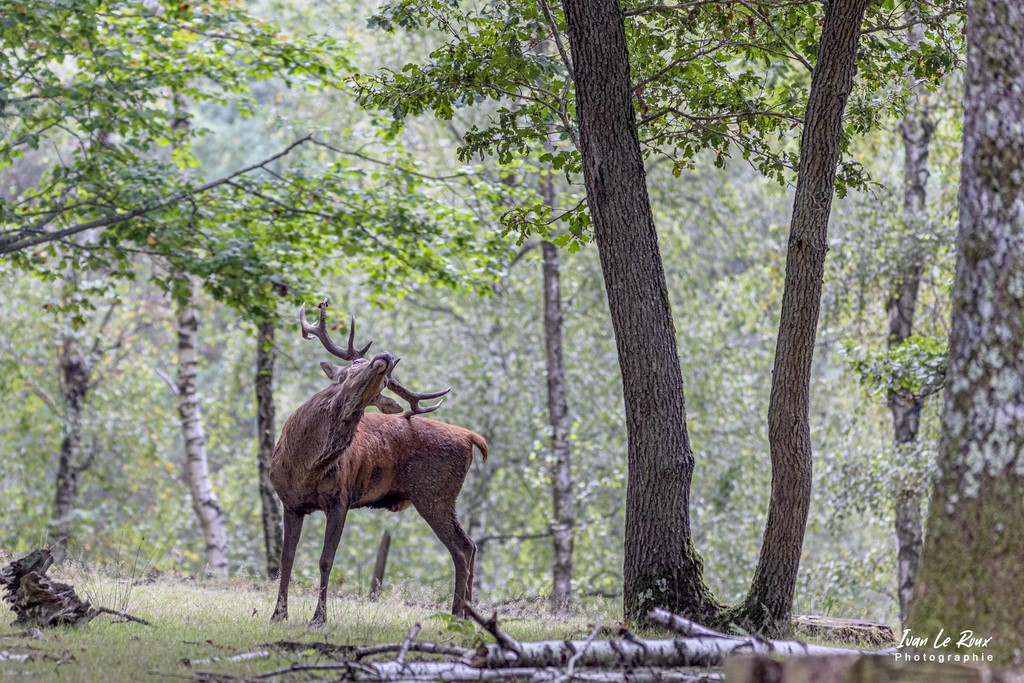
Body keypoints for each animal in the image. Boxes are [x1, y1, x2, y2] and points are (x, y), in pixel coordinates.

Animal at [269, 299, 488, 626]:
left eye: (382, 384)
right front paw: (278, 614)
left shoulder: (340, 498)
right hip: (440, 496)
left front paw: (319, 618)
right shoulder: (290, 502)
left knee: (461, 549)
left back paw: (456, 615)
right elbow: (287, 558)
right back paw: (469, 617)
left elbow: (325, 559)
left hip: (434, 493)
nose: (384, 356)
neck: (304, 465)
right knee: (470, 545)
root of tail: (472, 437)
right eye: (354, 365)